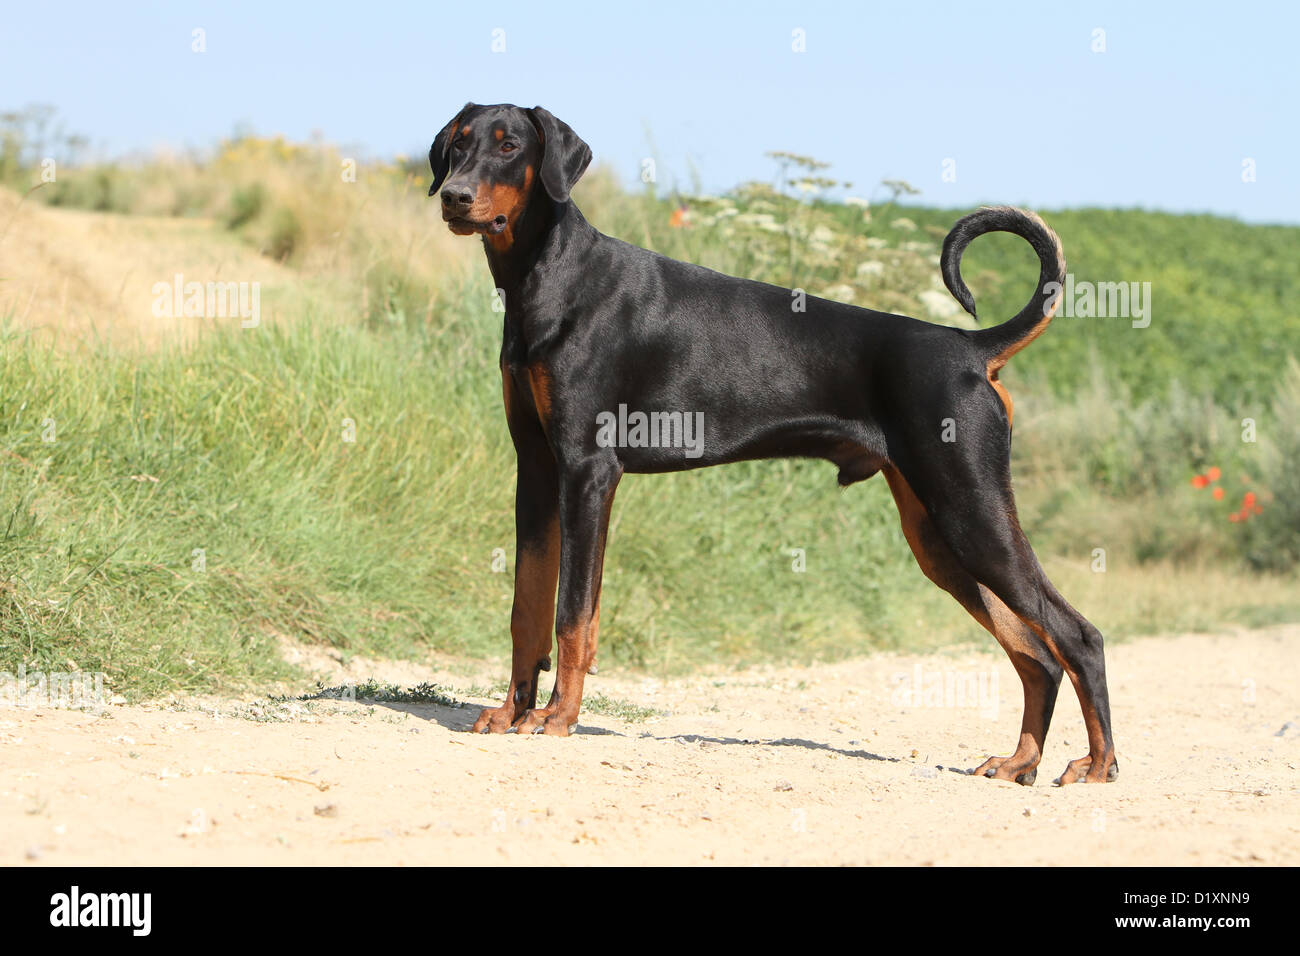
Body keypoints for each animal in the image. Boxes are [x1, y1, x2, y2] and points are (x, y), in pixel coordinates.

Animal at [426, 100, 1118, 785]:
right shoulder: (538, 470)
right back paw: (1019, 761)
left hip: (971, 510)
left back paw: (1097, 763)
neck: (547, 276)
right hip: (939, 538)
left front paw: (558, 717)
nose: (454, 196)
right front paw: (512, 712)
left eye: (510, 145)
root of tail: (972, 350)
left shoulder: (587, 471)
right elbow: (527, 607)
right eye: (458, 144)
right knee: (1036, 654)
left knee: (1077, 636)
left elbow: (573, 613)